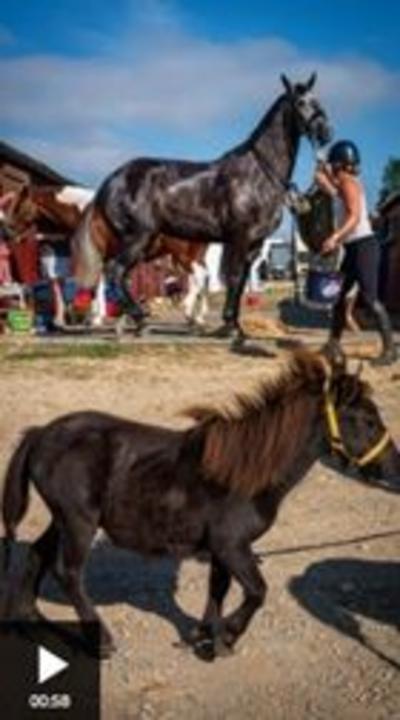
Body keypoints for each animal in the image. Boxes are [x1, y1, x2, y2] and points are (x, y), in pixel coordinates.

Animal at [2, 349, 399, 661]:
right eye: (367, 420)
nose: (393, 469)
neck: (245, 472)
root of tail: (41, 433)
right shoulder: (231, 545)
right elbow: (257, 592)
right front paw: (227, 636)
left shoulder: (223, 548)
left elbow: (218, 589)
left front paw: (207, 636)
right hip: (78, 521)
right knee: (67, 572)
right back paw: (101, 641)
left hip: (62, 519)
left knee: (37, 555)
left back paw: (31, 620)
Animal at [73, 73, 331, 337]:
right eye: (300, 102)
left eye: (317, 99)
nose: (325, 132)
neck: (258, 173)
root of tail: (110, 181)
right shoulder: (239, 238)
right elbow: (234, 277)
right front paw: (230, 326)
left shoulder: (254, 244)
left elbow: (241, 282)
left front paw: (236, 325)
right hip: (137, 238)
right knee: (115, 271)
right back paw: (139, 319)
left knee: (117, 275)